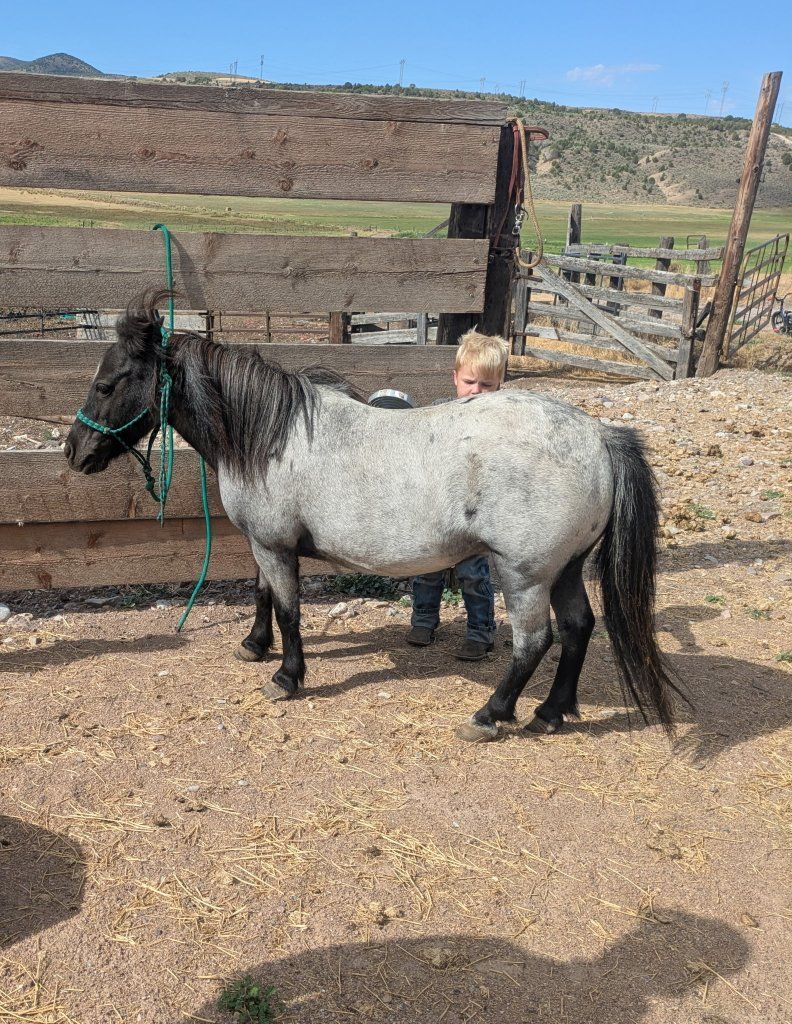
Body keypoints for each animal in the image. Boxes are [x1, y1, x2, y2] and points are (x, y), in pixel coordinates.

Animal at [65, 293, 683, 743]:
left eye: (107, 382)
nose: (74, 452)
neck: (271, 435)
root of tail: (598, 437)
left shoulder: (274, 545)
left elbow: (288, 610)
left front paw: (286, 677)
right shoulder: (267, 545)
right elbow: (263, 595)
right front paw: (254, 645)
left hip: (525, 575)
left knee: (535, 642)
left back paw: (490, 715)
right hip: (566, 569)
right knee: (579, 628)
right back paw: (552, 712)